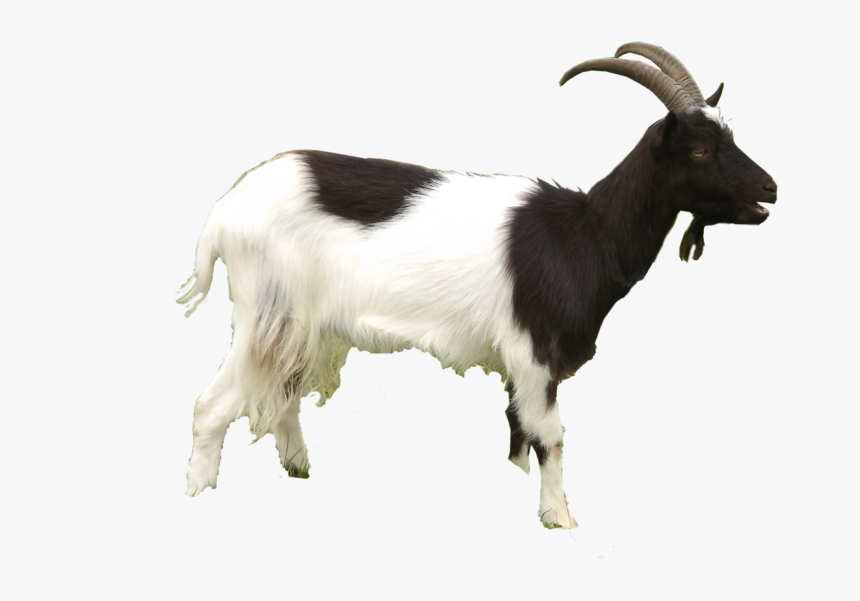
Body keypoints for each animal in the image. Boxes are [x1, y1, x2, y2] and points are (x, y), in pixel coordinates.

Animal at [178, 42, 777, 529]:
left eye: (728, 136)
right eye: (699, 150)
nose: (770, 188)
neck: (585, 234)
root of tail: (224, 212)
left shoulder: (519, 363)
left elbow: (517, 433)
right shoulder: (534, 350)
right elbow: (549, 435)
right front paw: (559, 519)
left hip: (304, 327)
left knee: (283, 400)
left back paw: (301, 469)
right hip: (269, 310)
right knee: (214, 405)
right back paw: (201, 496)